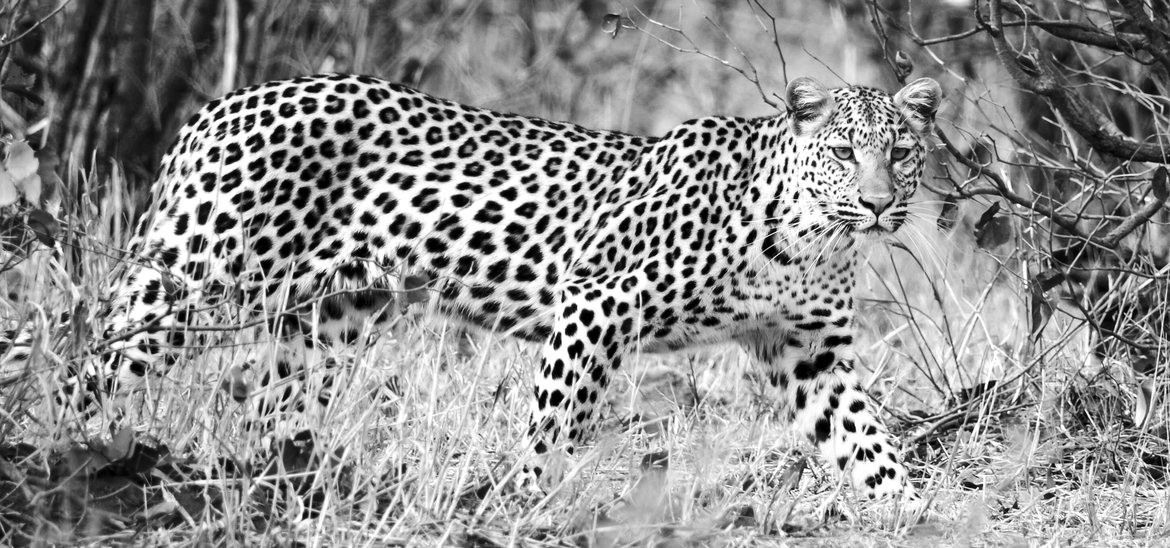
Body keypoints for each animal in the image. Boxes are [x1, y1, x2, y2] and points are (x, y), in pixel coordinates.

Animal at [4, 73, 941, 502]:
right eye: (843, 152)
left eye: (901, 152)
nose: (879, 203)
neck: (811, 238)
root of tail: (224, 103)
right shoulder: (596, 303)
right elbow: (553, 425)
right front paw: (528, 501)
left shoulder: (809, 351)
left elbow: (865, 443)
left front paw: (909, 511)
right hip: (194, 279)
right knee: (89, 362)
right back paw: (54, 455)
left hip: (330, 318)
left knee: (270, 407)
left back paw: (283, 484)